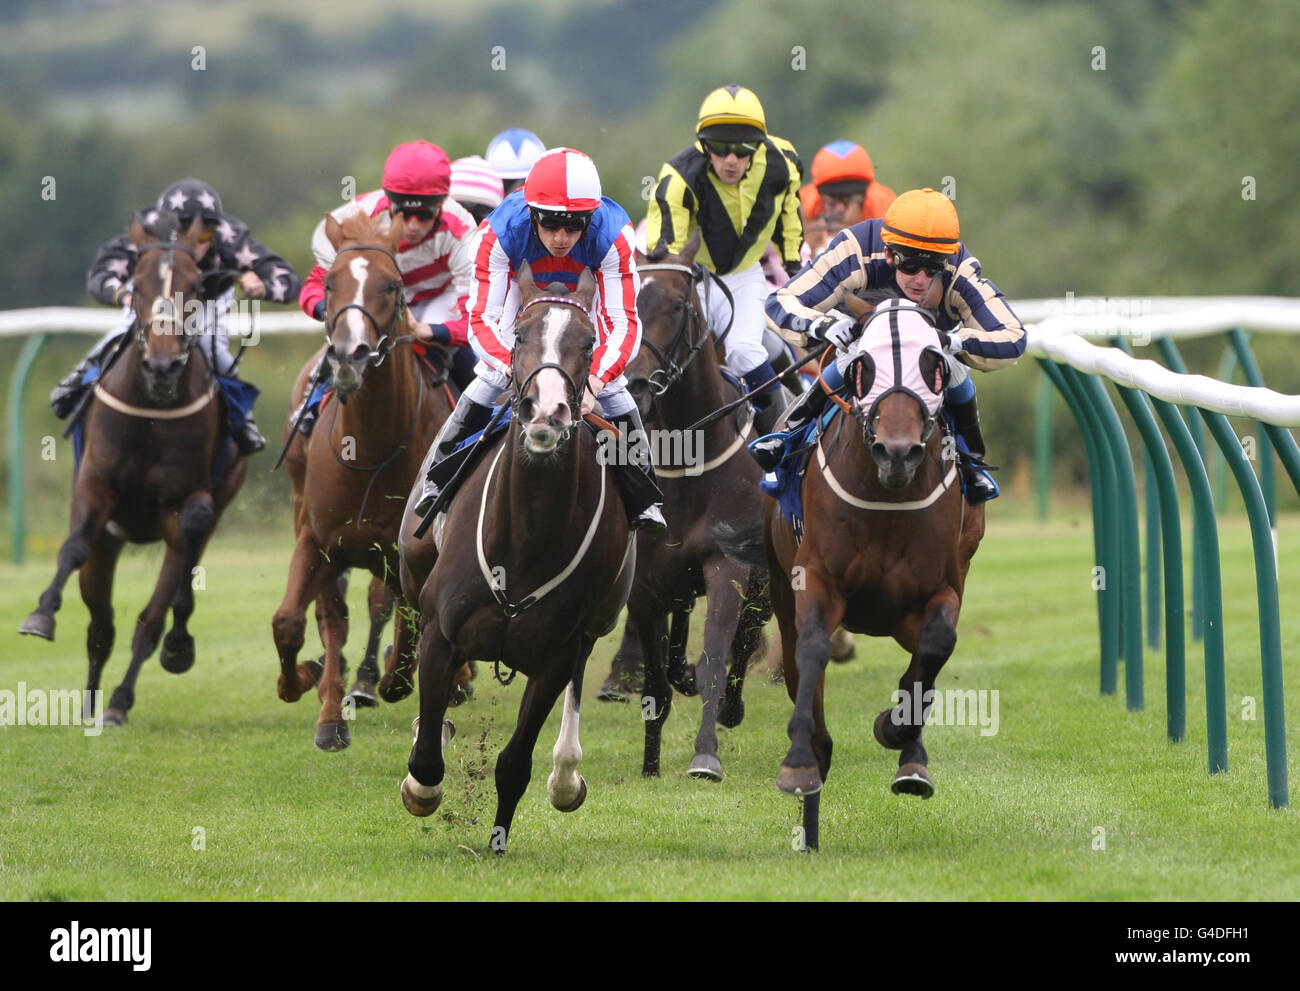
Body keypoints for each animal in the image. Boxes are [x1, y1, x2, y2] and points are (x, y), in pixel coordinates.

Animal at [19, 215, 246, 723]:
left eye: (196, 286)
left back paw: (121, 698)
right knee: (100, 622)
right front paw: (40, 614)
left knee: (150, 620)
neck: (152, 409)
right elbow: (73, 548)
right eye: (136, 284)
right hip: (109, 543)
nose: (162, 365)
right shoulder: (95, 487)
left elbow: (191, 534)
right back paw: (90, 700)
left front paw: (179, 645)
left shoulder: (190, 501)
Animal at [271, 210, 454, 749]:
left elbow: (410, 630)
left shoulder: (404, 552)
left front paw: (393, 677)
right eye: (330, 283)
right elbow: (293, 622)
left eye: (392, 286)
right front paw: (313, 694)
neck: (370, 449)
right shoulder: (318, 540)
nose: (349, 355)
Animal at [397, 262, 637, 847]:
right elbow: (427, 759)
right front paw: (422, 788)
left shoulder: (554, 657)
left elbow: (514, 764)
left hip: (596, 623)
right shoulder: (440, 633)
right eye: (521, 336)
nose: (546, 410)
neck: (526, 537)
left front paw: (498, 839)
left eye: (589, 340)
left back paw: (566, 775)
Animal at [618, 237, 769, 780]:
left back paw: (731, 706)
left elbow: (716, 659)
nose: (636, 384)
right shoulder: (644, 582)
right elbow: (655, 685)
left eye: (679, 304)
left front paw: (706, 753)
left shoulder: (731, 563)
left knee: (746, 638)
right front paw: (649, 764)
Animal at [759, 290, 982, 847]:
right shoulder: (815, 580)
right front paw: (800, 763)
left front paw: (901, 739)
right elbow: (814, 650)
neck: (888, 498)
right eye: (863, 365)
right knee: (799, 661)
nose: (897, 452)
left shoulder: (940, 588)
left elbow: (936, 648)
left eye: (933, 364)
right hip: (780, 590)